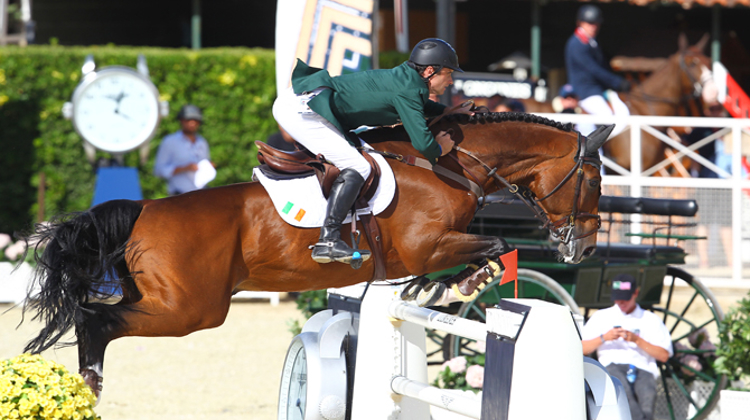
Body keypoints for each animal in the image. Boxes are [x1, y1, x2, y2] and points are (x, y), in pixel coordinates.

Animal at [23, 110, 612, 400]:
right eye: (593, 179)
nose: (583, 245)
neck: (450, 163)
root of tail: (144, 207)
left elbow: (485, 250)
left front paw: (435, 287)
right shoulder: (425, 244)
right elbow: (497, 245)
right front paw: (453, 283)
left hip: (168, 300)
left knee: (94, 317)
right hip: (190, 309)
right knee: (96, 320)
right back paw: (90, 385)